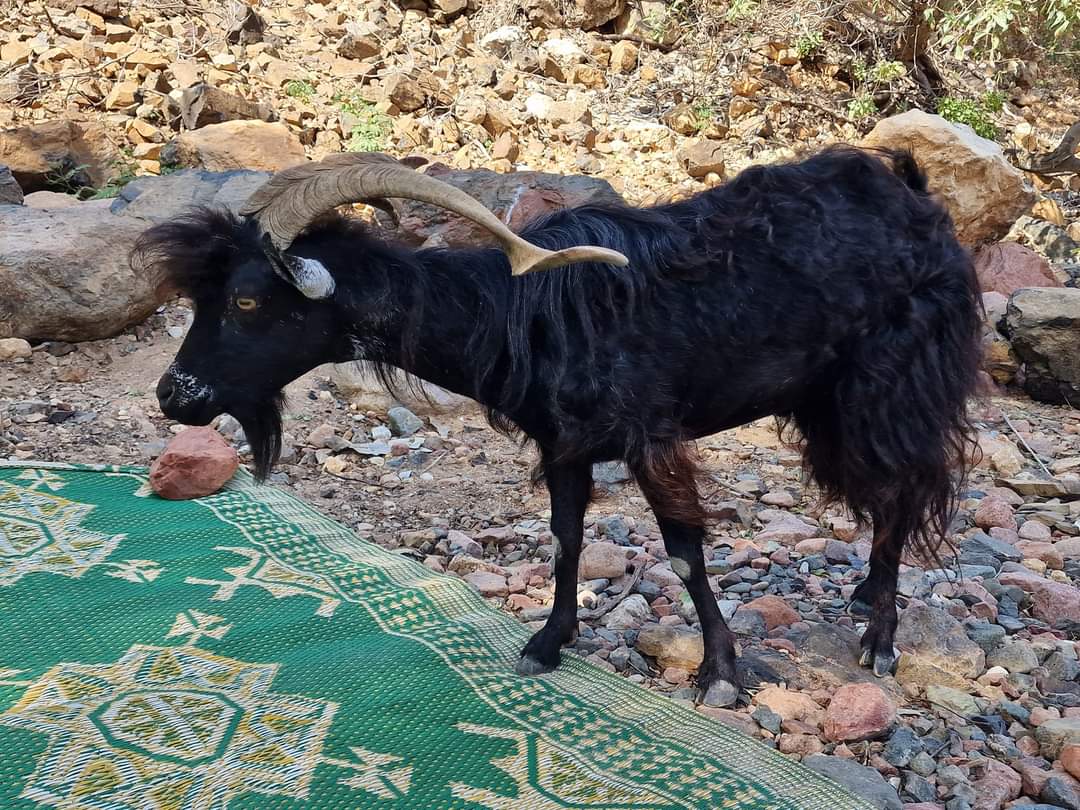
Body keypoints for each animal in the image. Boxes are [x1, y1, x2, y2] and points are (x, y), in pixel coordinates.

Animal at [135, 147, 980, 708]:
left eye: (247, 300)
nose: (174, 396)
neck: (522, 314)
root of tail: (915, 197)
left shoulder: (650, 436)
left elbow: (682, 553)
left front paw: (719, 673)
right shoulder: (563, 443)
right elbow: (565, 536)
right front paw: (548, 642)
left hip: (886, 387)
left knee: (903, 488)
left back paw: (881, 639)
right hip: (824, 400)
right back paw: (866, 598)